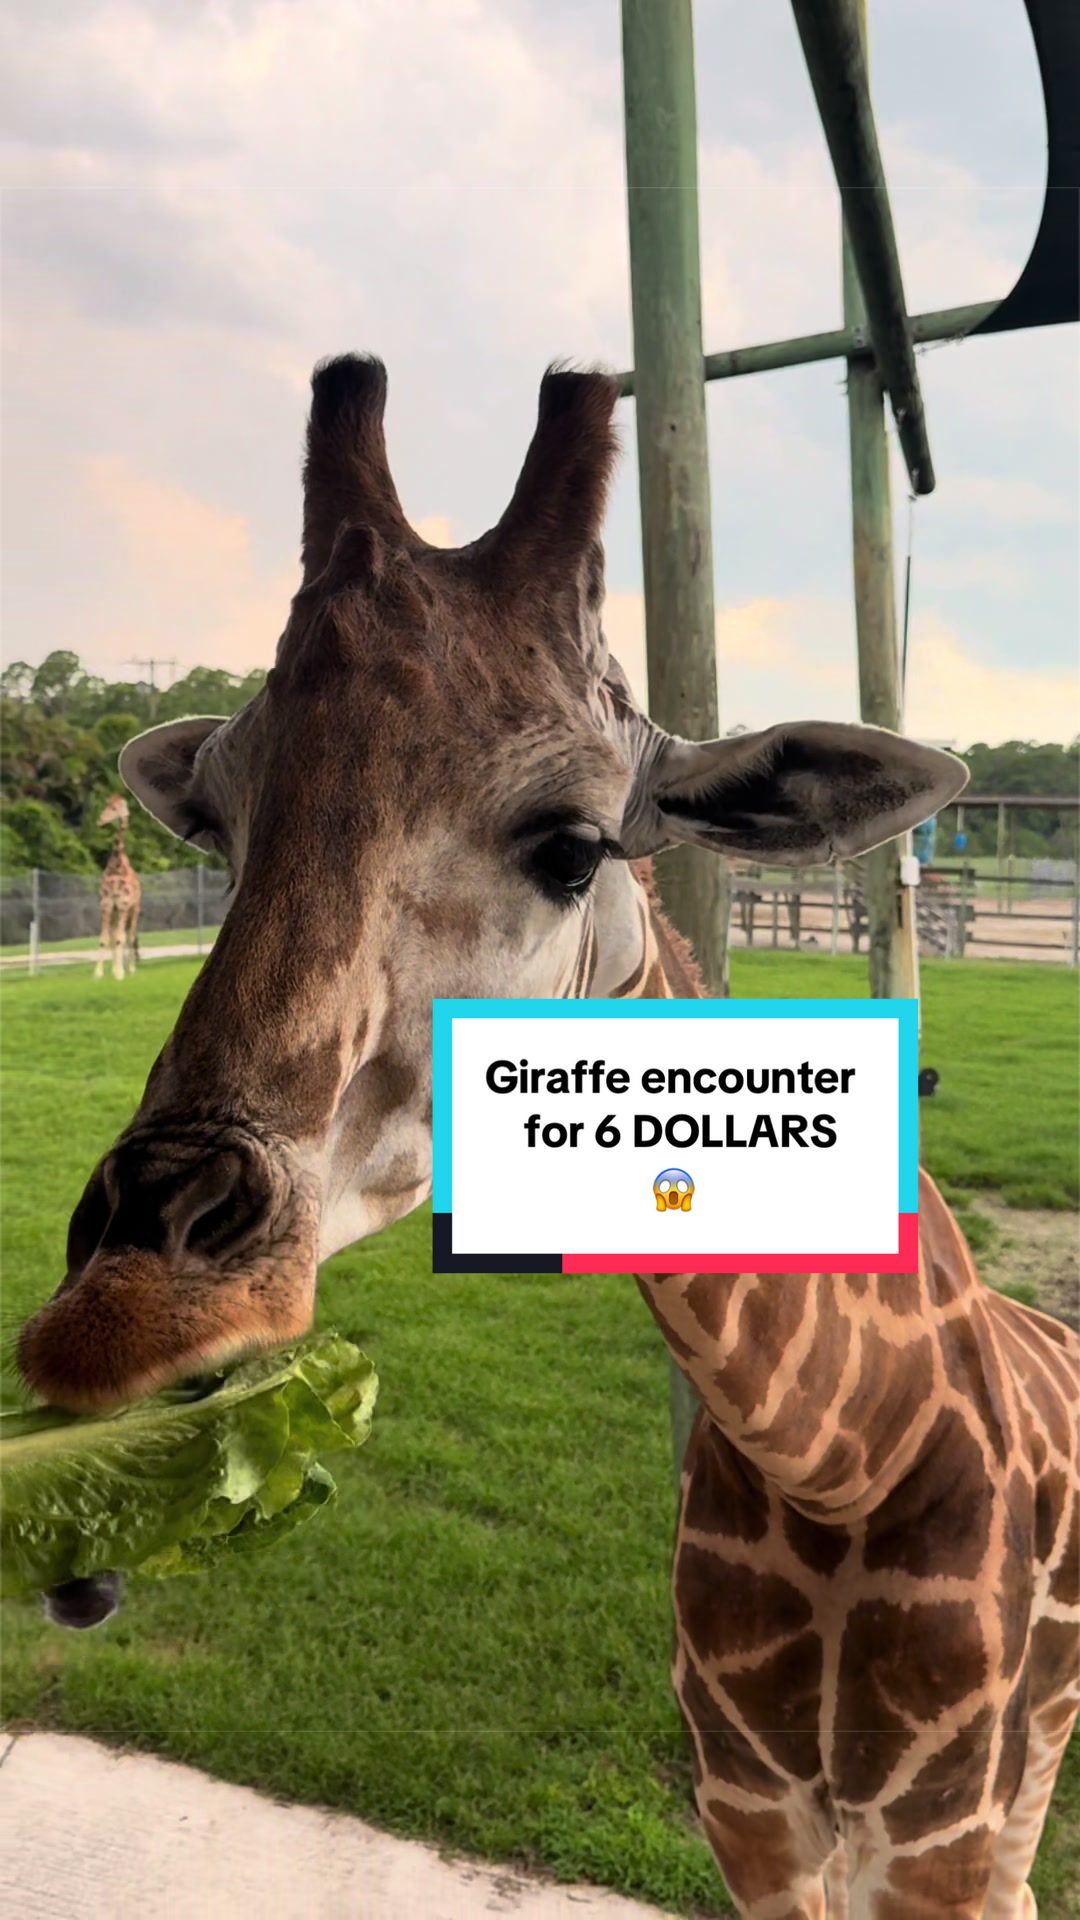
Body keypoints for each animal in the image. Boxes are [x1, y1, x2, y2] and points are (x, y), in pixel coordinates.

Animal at [94, 793, 141, 981]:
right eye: (106, 805)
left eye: (114, 808)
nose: (100, 820)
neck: (116, 865)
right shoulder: (107, 904)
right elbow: (105, 939)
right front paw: (99, 973)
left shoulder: (123, 904)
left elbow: (121, 938)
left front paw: (120, 973)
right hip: (115, 912)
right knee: (116, 935)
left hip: (134, 910)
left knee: (131, 936)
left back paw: (131, 969)